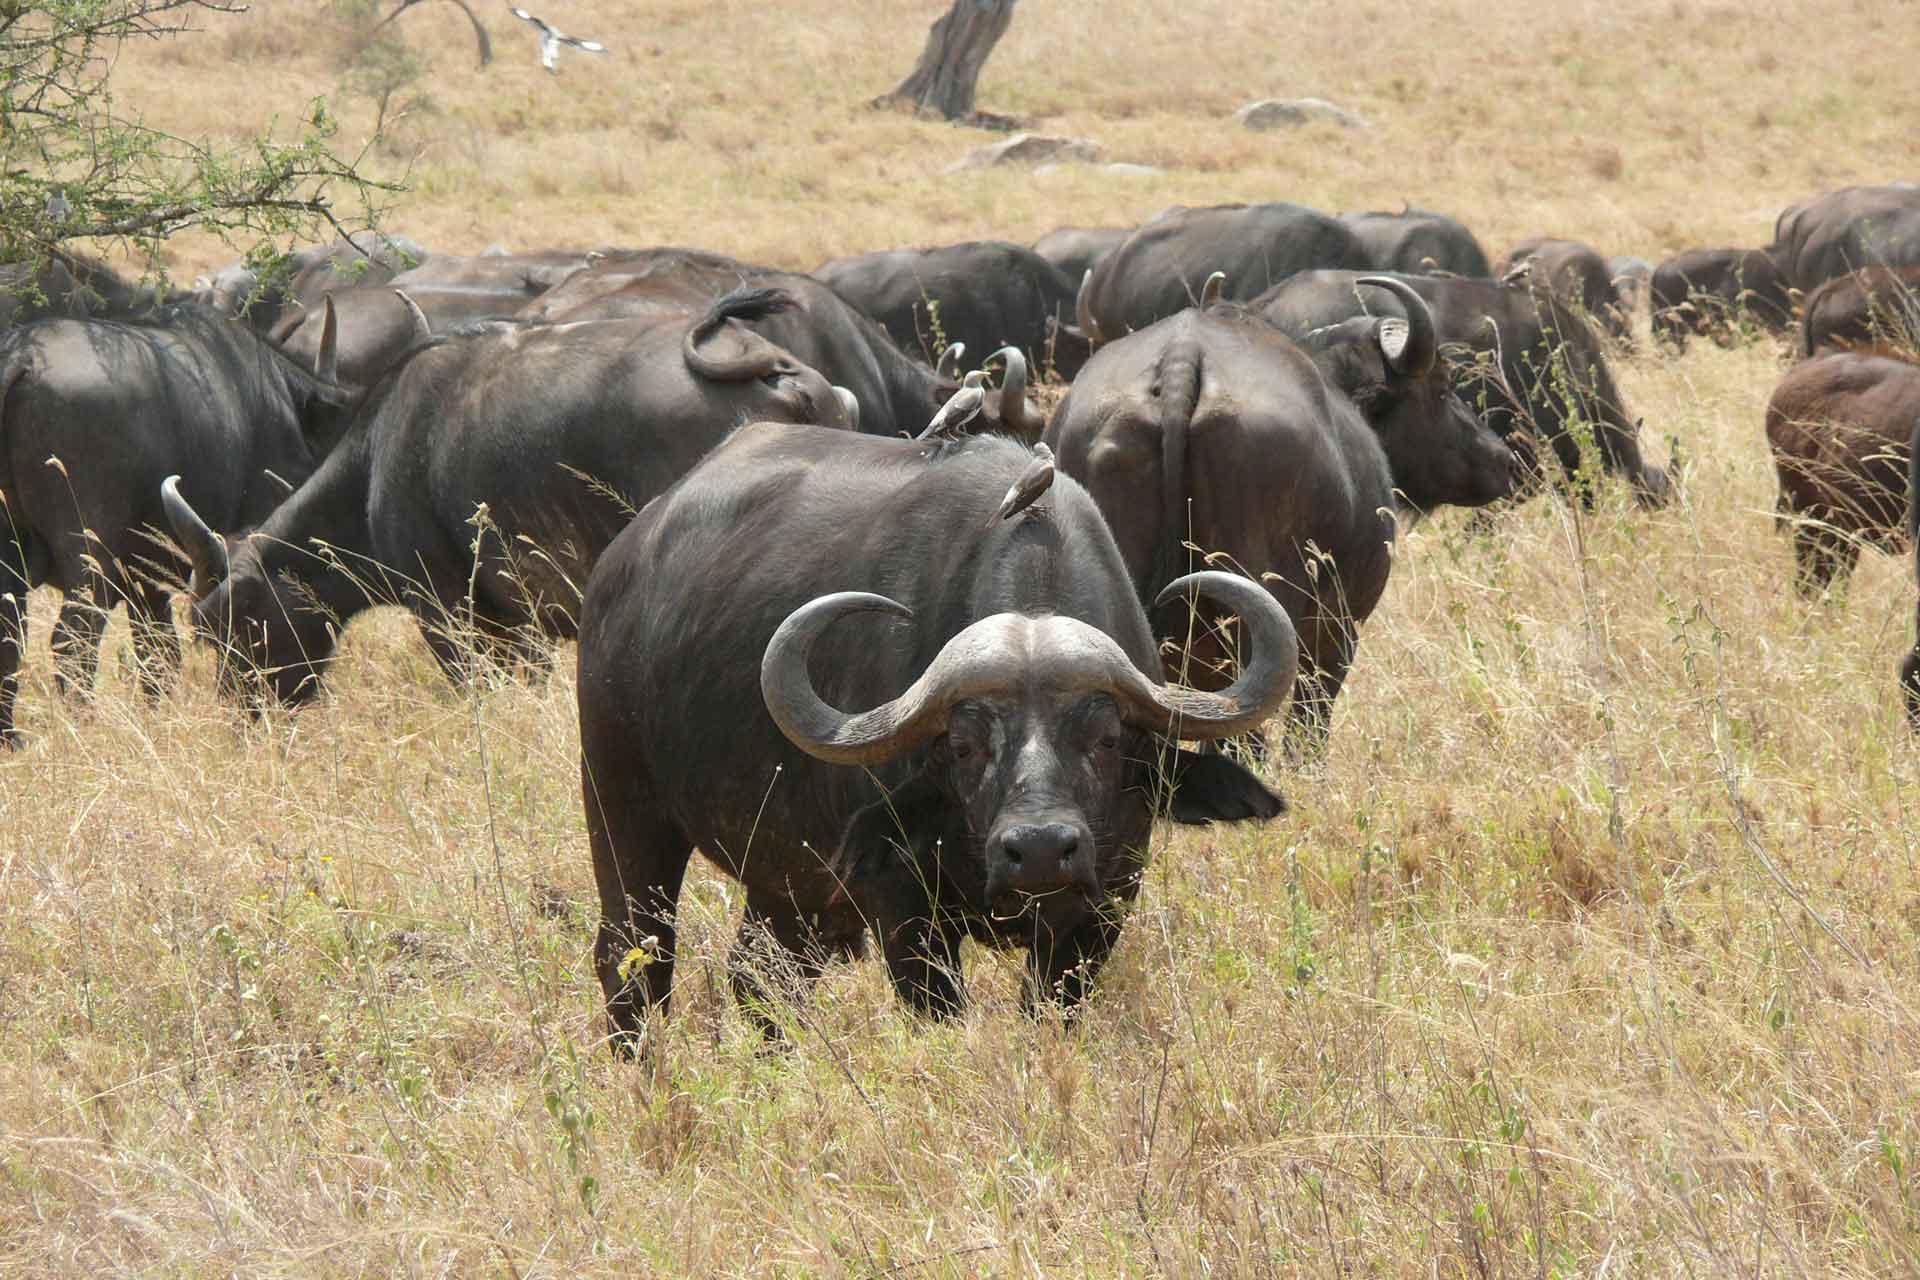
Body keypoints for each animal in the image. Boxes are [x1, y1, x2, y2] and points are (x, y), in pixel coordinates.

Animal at [0, 302, 353, 742]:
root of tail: (21, 357)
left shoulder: (147, 581)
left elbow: (160, 654)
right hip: (90, 559)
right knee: (73, 642)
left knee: (9, 642)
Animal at [163, 288, 854, 707]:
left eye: (224, 625)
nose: (243, 709)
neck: (378, 458)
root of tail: (778, 373)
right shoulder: (520, 624)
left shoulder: (450, 612)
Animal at [577, 422, 1296, 1052]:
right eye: (964, 746)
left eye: (1108, 740)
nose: (1040, 851)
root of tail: (624, 564)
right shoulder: (903, 908)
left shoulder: (1101, 908)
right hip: (622, 807)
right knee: (634, 959)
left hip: (785, 880)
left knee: (761, 978)